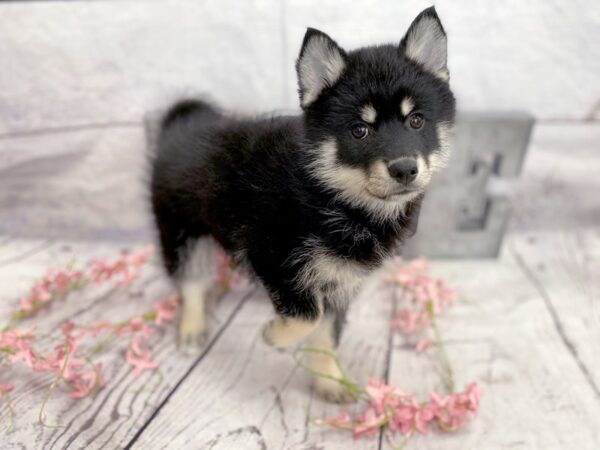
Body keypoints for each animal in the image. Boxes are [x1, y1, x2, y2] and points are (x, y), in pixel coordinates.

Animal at [150, 6, 454, 400]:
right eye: (360, 130)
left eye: (417, 120)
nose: (404, 169)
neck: (332, 197)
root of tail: (176, 128)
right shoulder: (274, 258)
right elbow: (307, 317)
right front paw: (273, 334)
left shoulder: (338, 281)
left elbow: (324, 335)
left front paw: (329, 381)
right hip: (180, 231)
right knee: (190, 282)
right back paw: (191, 328)